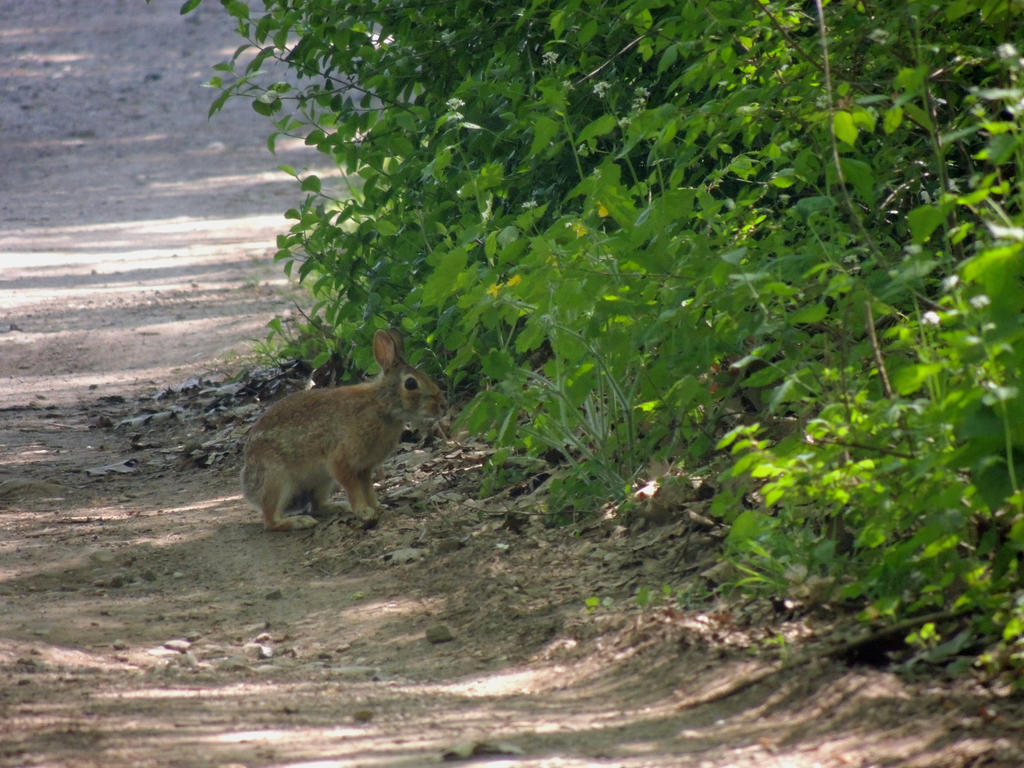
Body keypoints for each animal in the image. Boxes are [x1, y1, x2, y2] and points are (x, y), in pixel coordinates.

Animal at [241, 328, 445, 531]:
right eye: (411, 384)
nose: (441, 404)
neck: (381, 405)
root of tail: (249, 488)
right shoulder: (341, 461)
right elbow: (353, 488)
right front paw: (365, 512)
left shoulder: (365, 467)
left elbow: (368, 488)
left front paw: (378, 506)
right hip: (278, 479)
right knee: (271, 521)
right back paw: (300, 521)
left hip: (322, 481)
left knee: (317, 506)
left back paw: (340, 507)